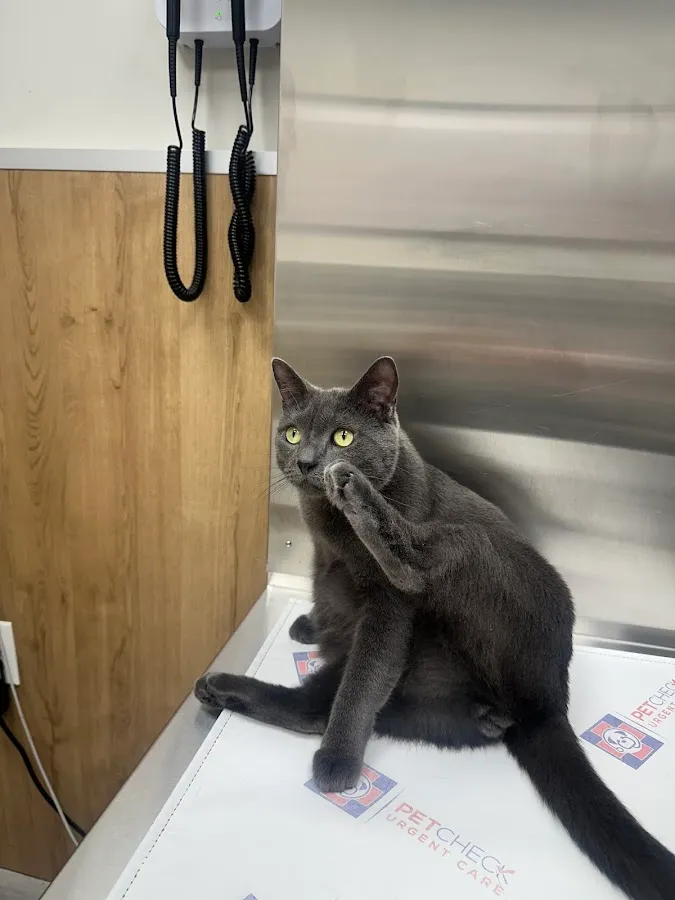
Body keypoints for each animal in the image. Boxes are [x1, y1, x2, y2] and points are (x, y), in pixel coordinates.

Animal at [196, 356, 675, 900]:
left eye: (343, 436)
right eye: (292, 433)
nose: (310, 463)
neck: (329, 526)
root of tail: (550, 702)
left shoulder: (388, 609)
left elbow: (363, 682)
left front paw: (339, 762)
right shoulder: (322, 558)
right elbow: (323, 592)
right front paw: (311, 626)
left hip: (479, 552)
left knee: (390, 610)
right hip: (429, 704)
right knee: (325, 704)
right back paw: (221, 687)